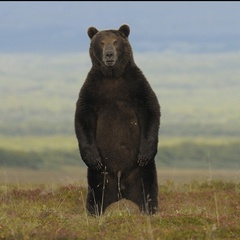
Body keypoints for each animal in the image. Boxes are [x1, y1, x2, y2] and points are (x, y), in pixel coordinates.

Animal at [74, 24, 161, 216]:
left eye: (115, 41)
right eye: (101, 42)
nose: (109, 54)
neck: (112, 75)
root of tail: (122, 191)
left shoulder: (136, 85)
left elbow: (151, 109)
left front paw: (146, 152)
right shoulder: (92, 90)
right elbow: (83, 118)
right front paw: (91, 156)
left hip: (141, 172)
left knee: (148, 187)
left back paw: (149, 209)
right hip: (101, 175)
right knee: (96, 192)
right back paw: (94, 211)